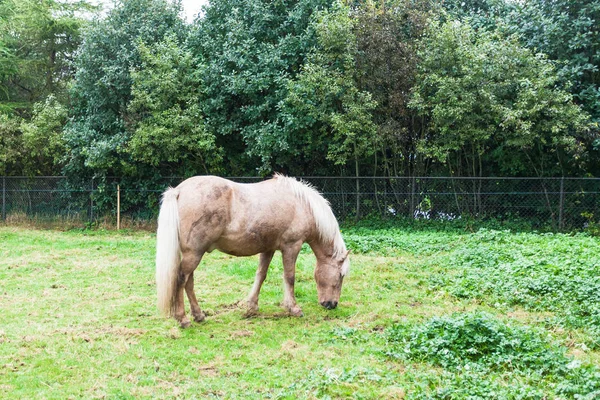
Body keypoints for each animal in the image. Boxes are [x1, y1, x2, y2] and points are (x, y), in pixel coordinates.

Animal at [156, 173, 352, 326]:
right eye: (340, 276)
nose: (332, 304)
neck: (302, 205)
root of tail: (179, 191)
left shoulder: (268, 249)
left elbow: (261, 275)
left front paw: (251, 306)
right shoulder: (291, 246)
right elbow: (289, 277)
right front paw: (294, 308)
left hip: (194, 254)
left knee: (189, 282)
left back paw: (198, 315)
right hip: (194, 254)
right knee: (181, 279)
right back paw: (183, 319)